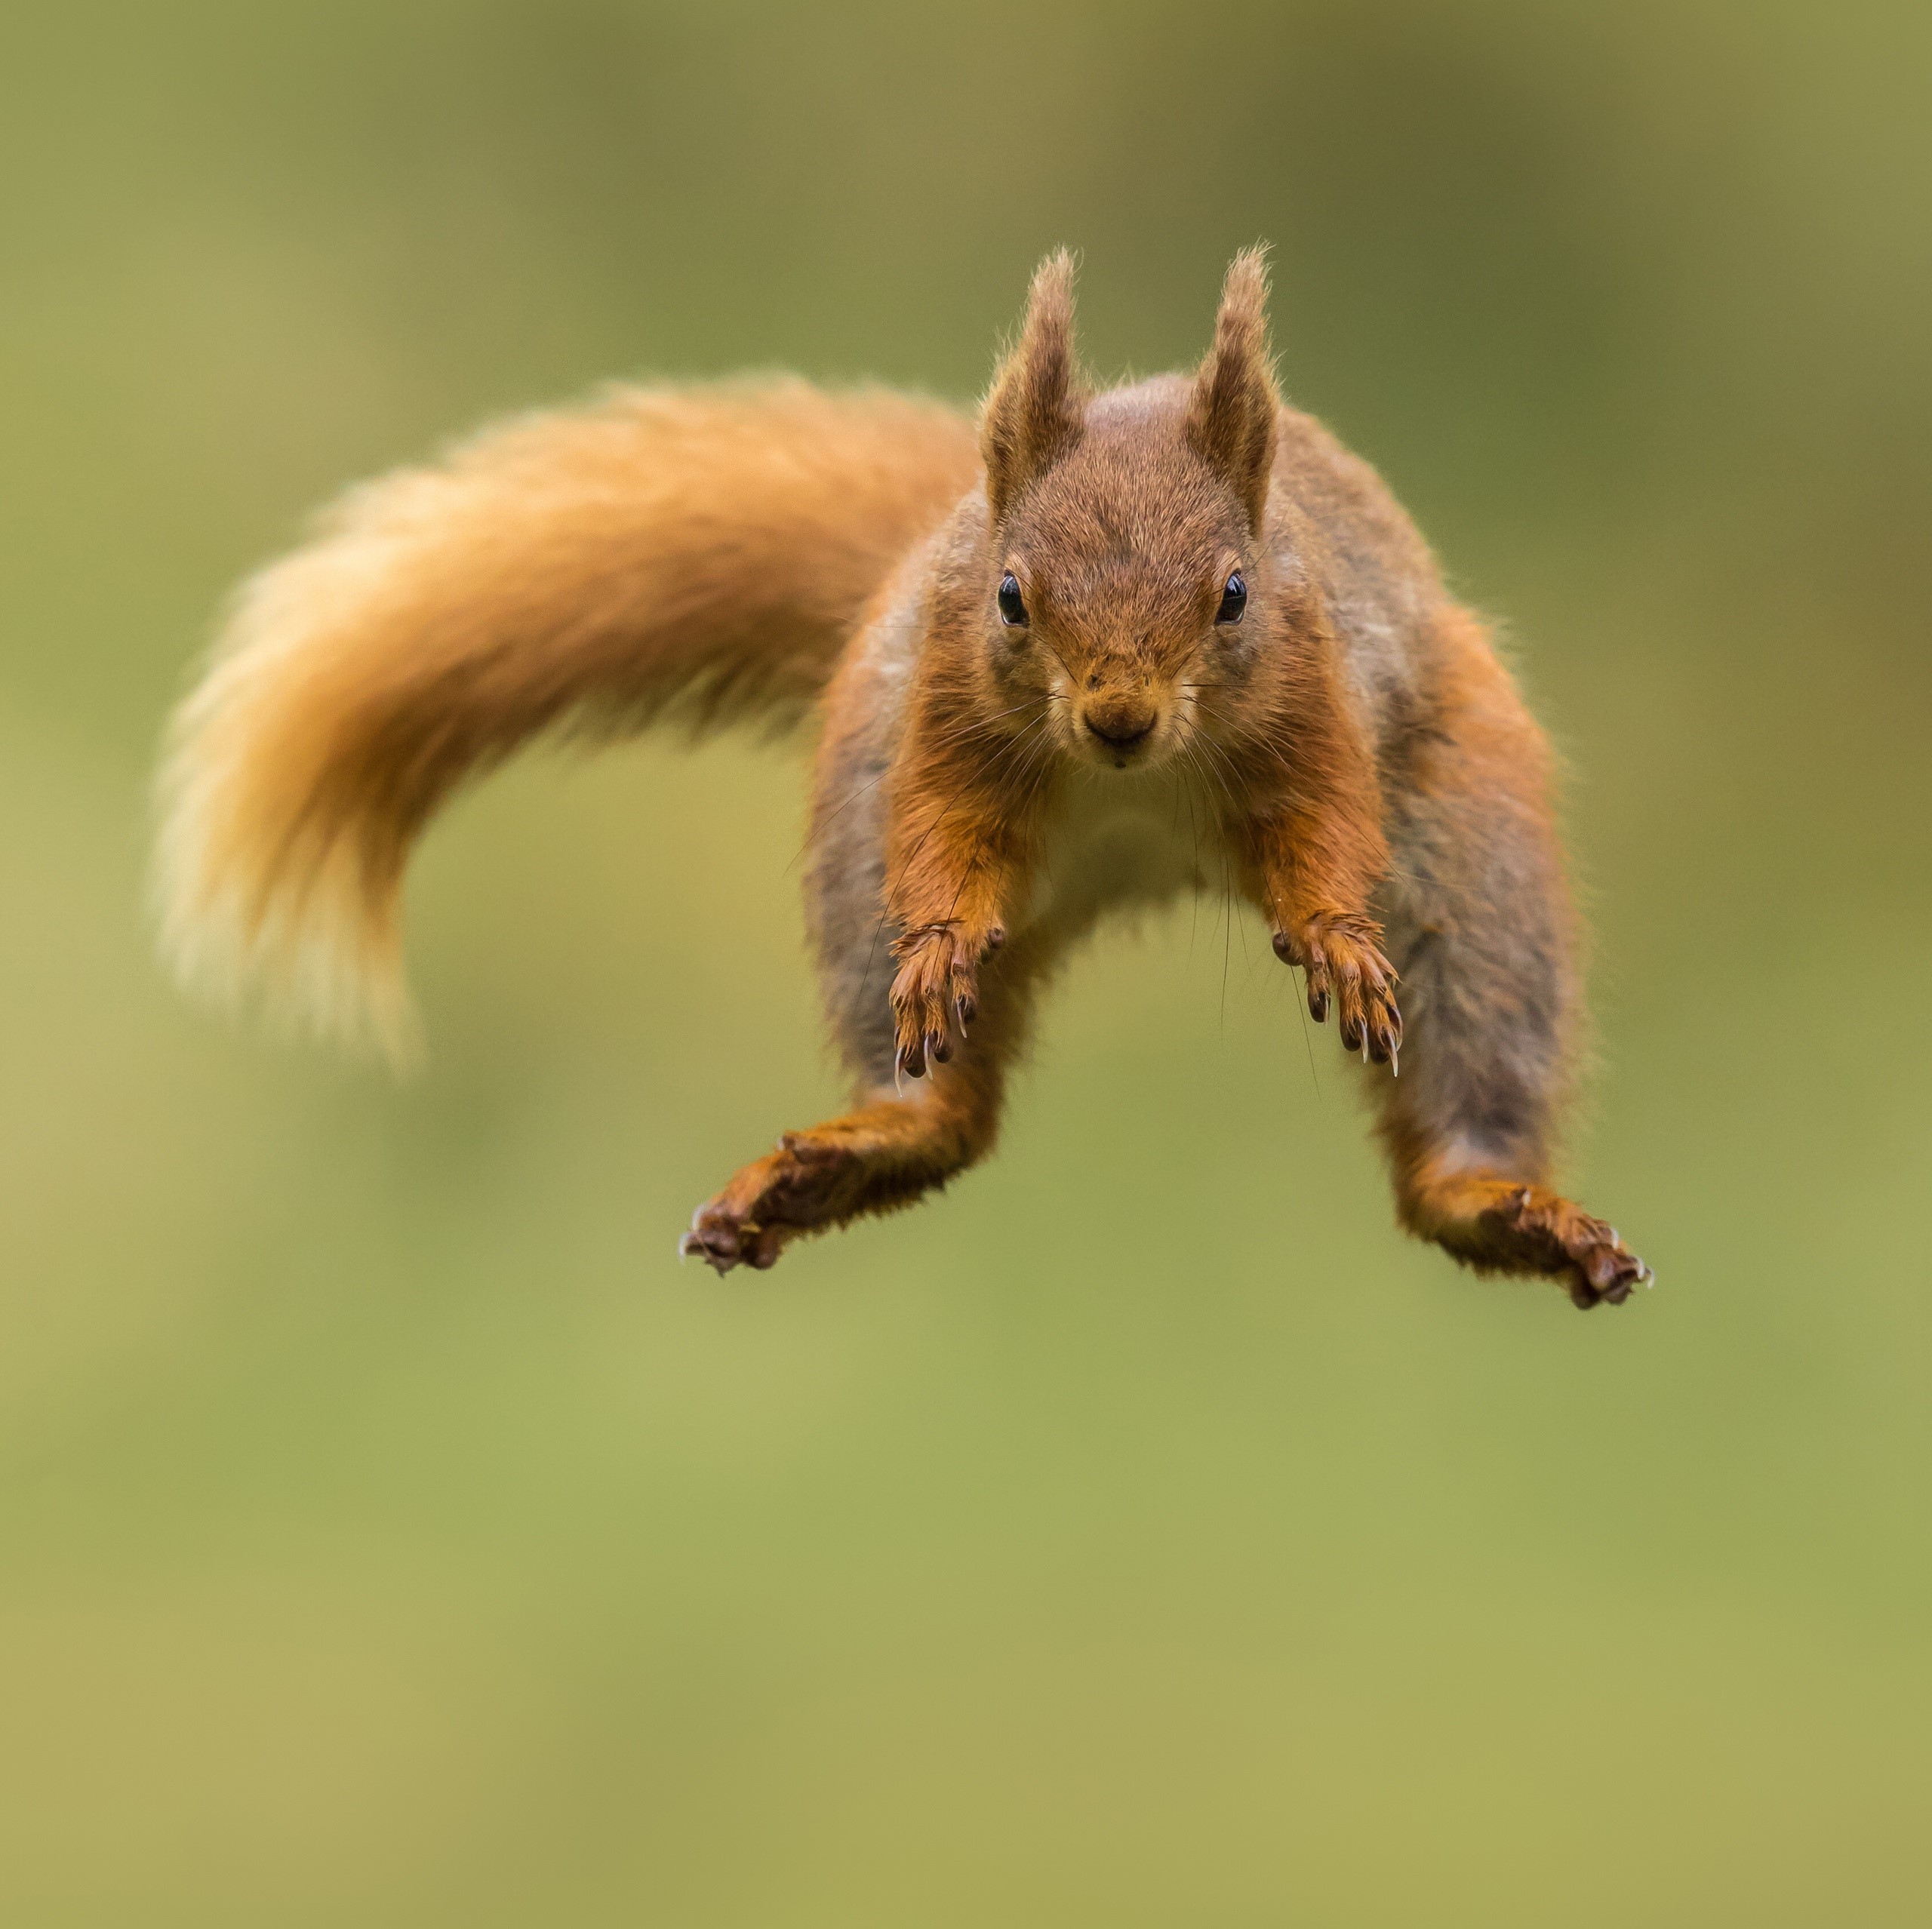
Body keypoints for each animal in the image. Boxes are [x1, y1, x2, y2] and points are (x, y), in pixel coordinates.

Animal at [155, 249, 1650, 1309]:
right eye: (1010, 595)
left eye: (1235, 595)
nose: (1117, 720)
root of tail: (1144, 862)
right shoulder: (936, 714)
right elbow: (945, 827)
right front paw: (939, 936)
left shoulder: (1319, 702)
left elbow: (1324, 828)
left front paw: (1336, 933)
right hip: (851, 845)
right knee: (946, 1106)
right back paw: (861, 1142)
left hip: (1478, 869)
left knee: (1465, 1079)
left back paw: (1499, 1200)